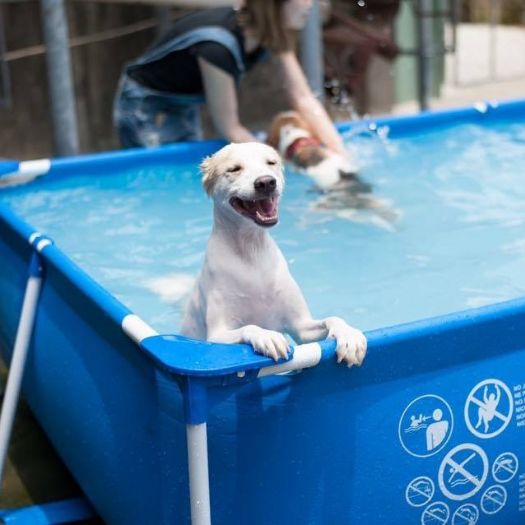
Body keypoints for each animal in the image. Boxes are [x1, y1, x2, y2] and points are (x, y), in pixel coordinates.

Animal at [180, 141, 364, 366]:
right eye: (234, 169)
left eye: (271, 163)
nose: (266, 182)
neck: (252, 254)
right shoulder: (218, 335)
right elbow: (250, 326)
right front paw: (267, 336)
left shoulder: (302, 328)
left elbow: (333, 318)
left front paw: (349, 335)